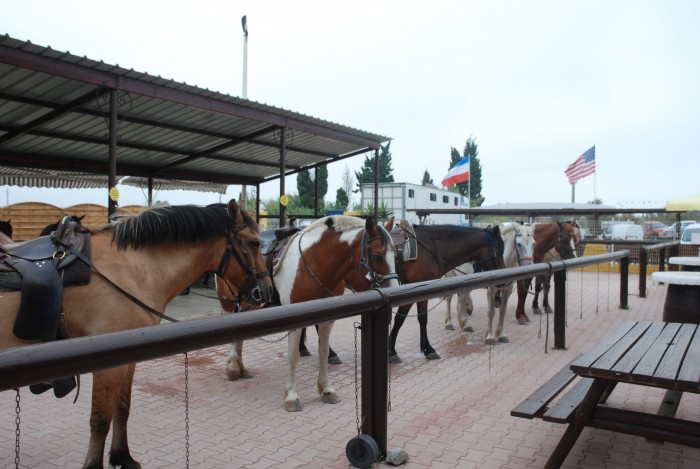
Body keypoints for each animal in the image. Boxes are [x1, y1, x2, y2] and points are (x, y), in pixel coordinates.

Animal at [0, 200, 270, 468]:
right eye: (255, 243)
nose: (265, 291)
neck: (132, 268)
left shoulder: (128, 359)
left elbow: (122, 408)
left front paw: (123, 457)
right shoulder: (107, 366)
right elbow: (100, 420)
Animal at [217, 214, 400, 412]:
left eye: (395, 255)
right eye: (377, 256)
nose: (395, 291)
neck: (313, 263)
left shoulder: (327, 320)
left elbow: (323, 352)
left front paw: (326, 389)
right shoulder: (294, 322)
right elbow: (293, 356)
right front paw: (291, 396)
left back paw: (241, 368)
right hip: (230, 304)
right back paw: (233, 367)